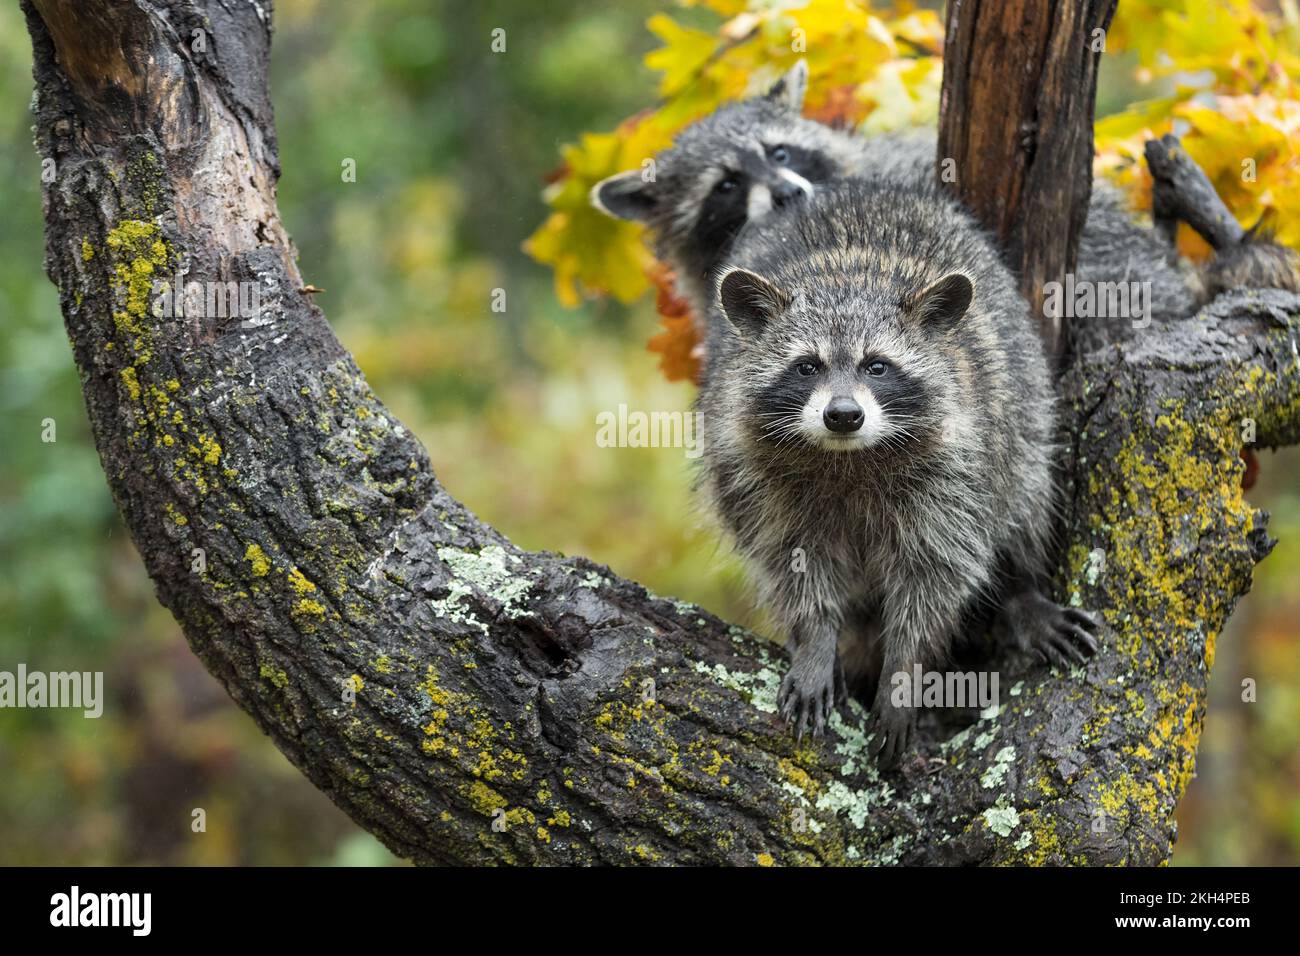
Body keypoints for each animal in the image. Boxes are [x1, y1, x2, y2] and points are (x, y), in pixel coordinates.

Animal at [698, 178, 1099, 764]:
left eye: (878, 366)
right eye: (807, 366)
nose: (843, 414)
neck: (849, 456)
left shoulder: (958, 468)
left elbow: (938, 572)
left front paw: (904, 675)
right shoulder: (755, 472)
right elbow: (791, 560)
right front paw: (815, 642)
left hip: (1019, 420)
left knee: (1024, 498)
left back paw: (1020, 591)